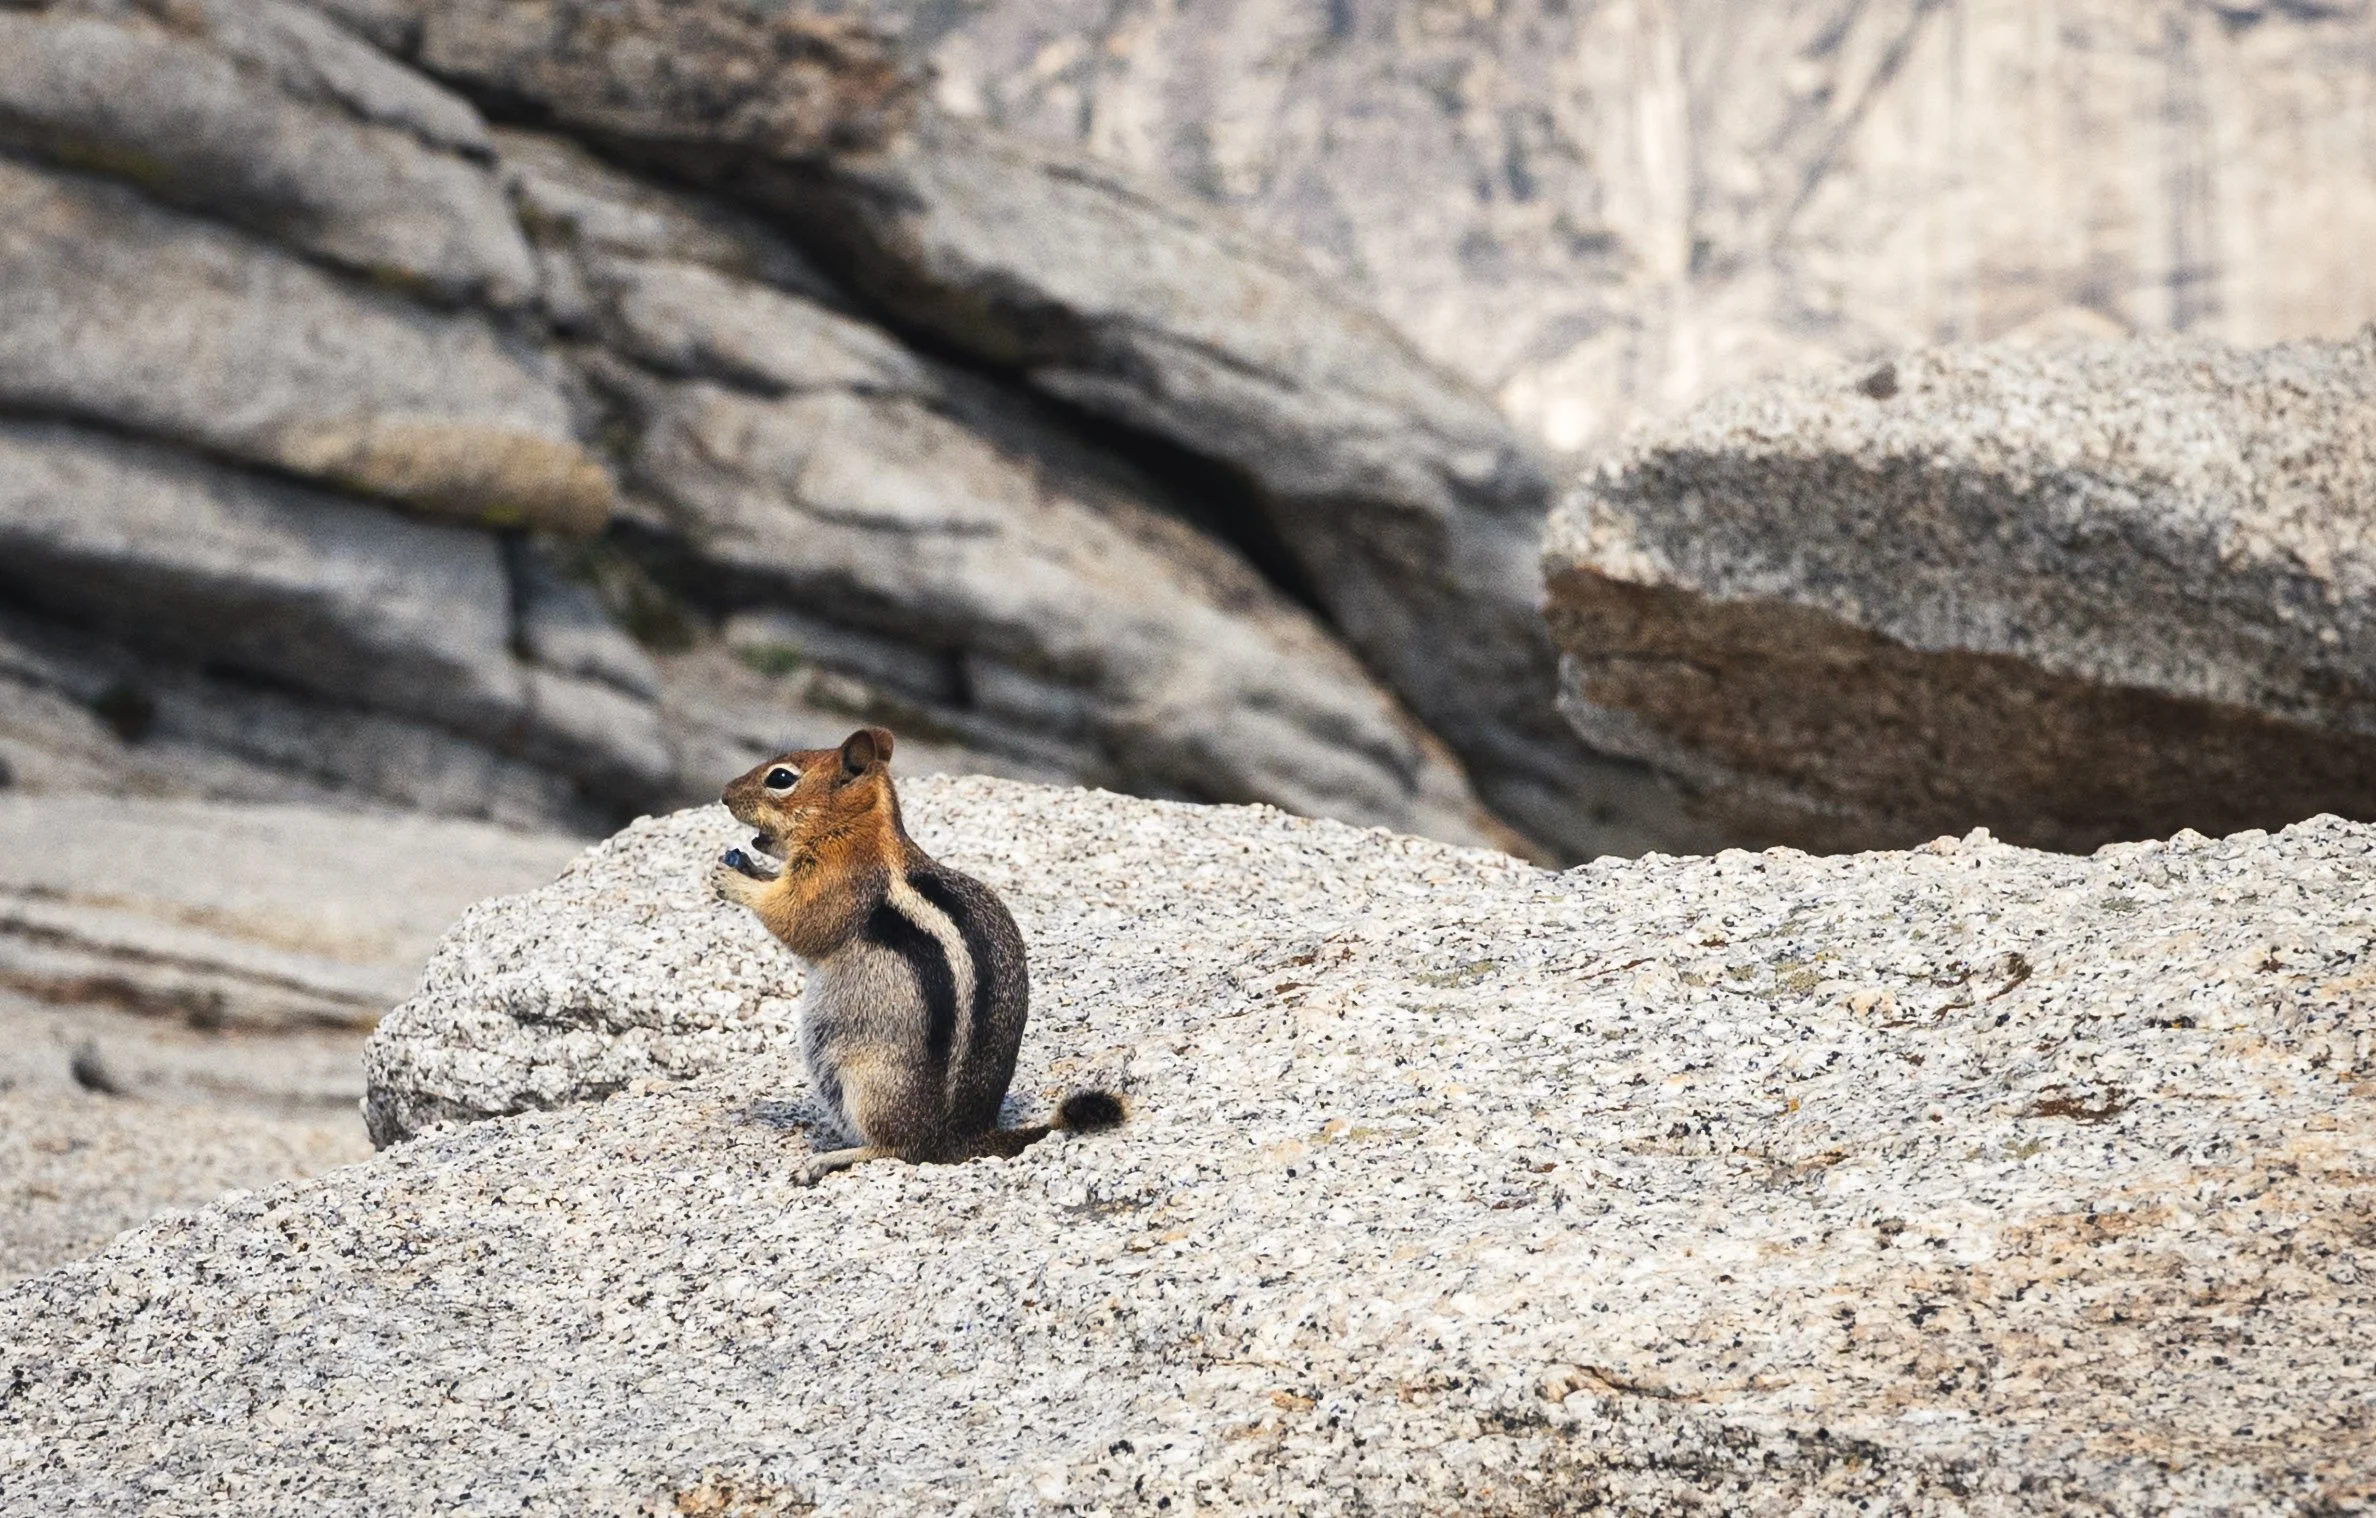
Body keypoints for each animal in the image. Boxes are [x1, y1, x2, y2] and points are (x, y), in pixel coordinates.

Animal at [712, 726, 1124, 1184]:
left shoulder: (833, 883)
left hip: (867, 1079)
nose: (725, 795)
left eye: (781, 778)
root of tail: (963, 1138)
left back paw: (828, 1159)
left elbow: (795, 919)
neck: (856, 829)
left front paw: (732, 879)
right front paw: (747, 867)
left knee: (899, 1149)